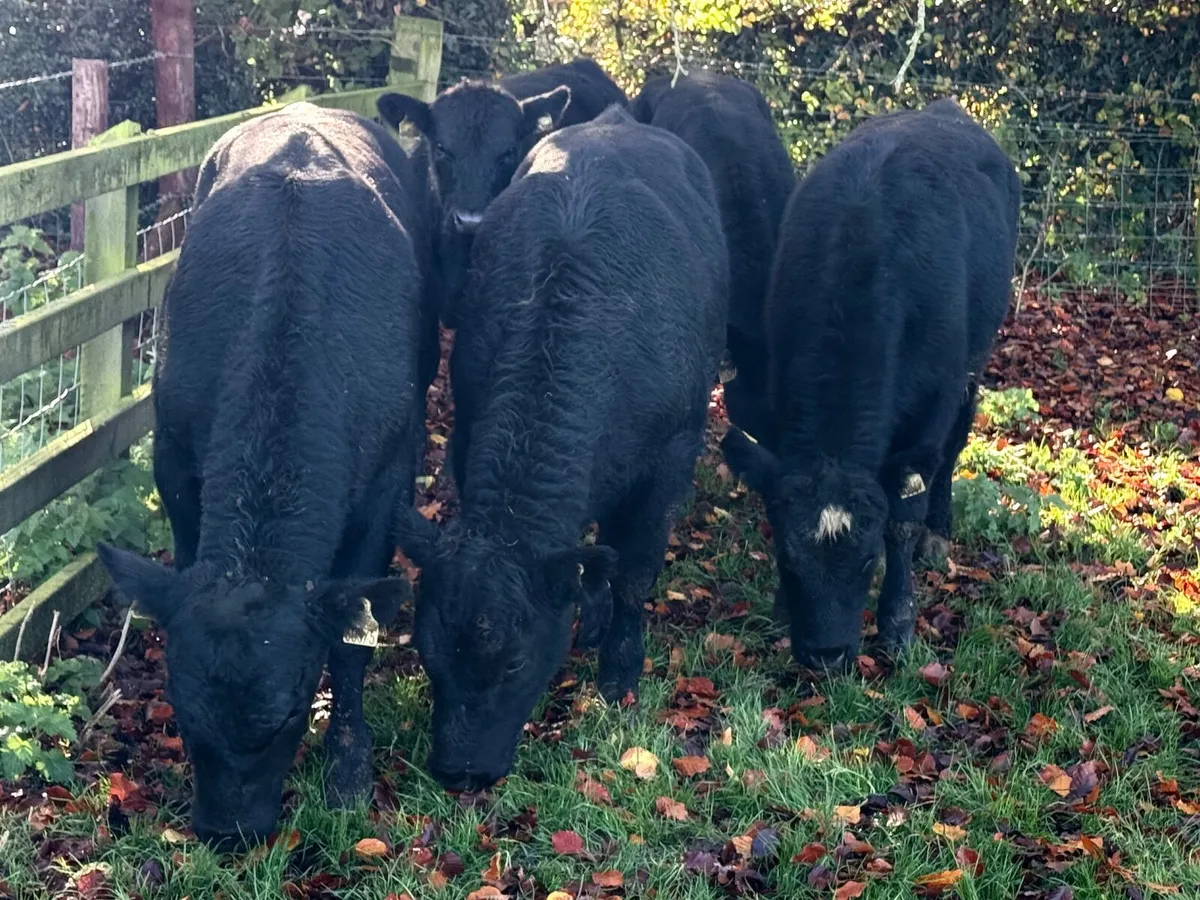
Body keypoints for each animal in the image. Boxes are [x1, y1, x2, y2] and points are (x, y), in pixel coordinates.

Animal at [95, 102, 435, 847]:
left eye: (286, 715)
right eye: (184, 712)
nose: (228, 833)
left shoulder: (386, 484)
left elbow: (353, 643)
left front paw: (347, 767)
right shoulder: (176, 461)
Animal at [395, 104, 728, 791]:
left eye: (515, 664)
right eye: (429, 654)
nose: (460, 772)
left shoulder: (668, 462)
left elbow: (633, 572)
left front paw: (620, 672)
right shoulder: (467, 432)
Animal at [721, 98, 1019, 672]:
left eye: (864, 559)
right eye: (788, 556)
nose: (825, 654)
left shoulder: (930, 408)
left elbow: (902, 517)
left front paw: (897, 622)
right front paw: (781, 602)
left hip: (974, 362)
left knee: (956, 444)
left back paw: (938, 531)